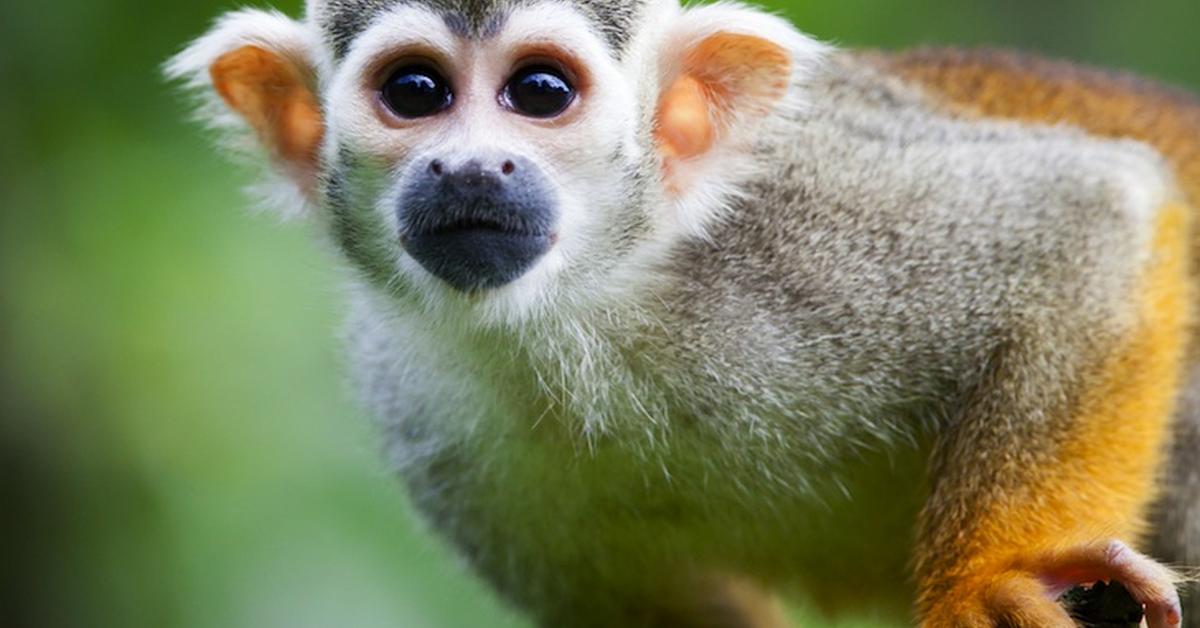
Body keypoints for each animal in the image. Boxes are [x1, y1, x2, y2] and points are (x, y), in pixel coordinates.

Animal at [169, 1, 1200, 628]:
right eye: (414, 93)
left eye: (539, 91)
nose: (467, 169)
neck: (588, 309)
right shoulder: (423, 418)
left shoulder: (807, 224)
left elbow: (1089, 215)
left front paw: (993, 580)